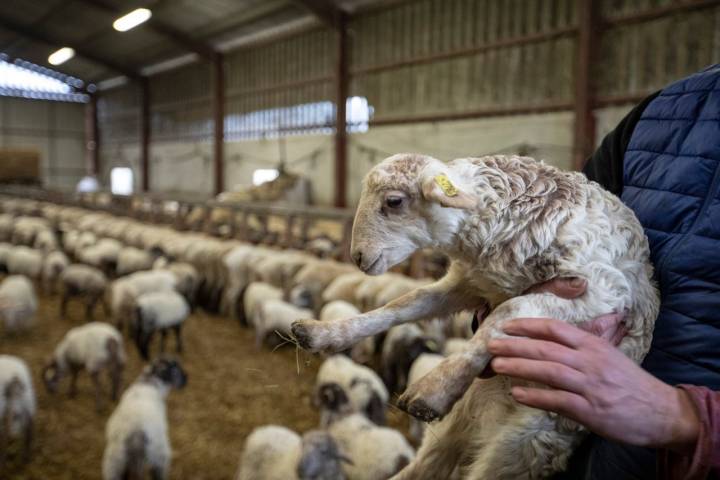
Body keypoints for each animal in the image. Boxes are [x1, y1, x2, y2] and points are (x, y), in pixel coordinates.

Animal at [292, 155, 660, 480]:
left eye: (394, 201)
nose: (357, 256)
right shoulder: (468, 284)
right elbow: (406, 302)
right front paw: (326, 333)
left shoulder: (599, 291)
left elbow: (509, 310)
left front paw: (436, 387)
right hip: (456, 422)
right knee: (427, 466)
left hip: (523, 445)